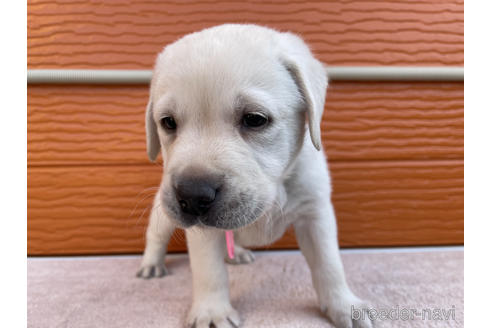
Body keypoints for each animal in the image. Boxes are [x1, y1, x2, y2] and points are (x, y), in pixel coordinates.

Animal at [136, 23, 370, 328]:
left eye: (255, 119)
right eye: (168, 123)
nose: (193, 194)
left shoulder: (315, 214)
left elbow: (329, 264)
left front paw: (343, 305)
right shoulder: (201, 233)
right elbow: (209, 270)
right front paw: (212, 312)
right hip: (163, 212)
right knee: (156, 235)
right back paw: (151, 264)